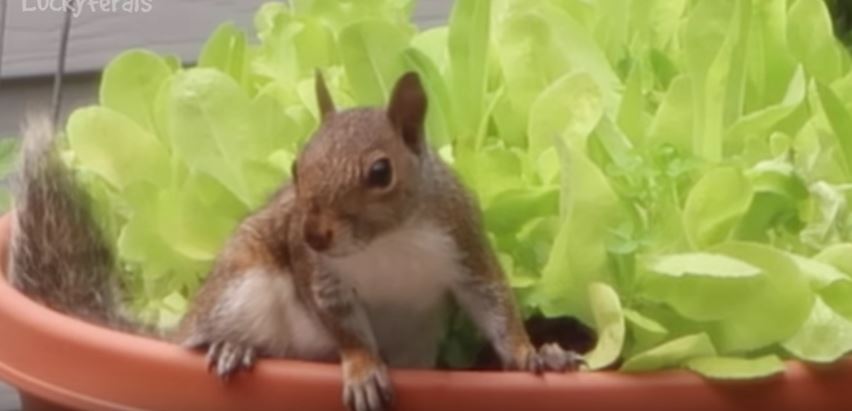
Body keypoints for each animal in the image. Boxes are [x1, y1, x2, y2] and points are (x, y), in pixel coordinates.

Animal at [8, 72, 583, 411]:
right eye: (296, 166)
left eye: (381, 172)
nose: (312, 232)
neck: (385, 241)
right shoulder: (318, 272)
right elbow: (342, 325)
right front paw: (361, 369)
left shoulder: (462, 240)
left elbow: (493, 302)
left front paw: (534, 355)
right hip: (243, 288)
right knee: (200, 341)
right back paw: (231, 346)